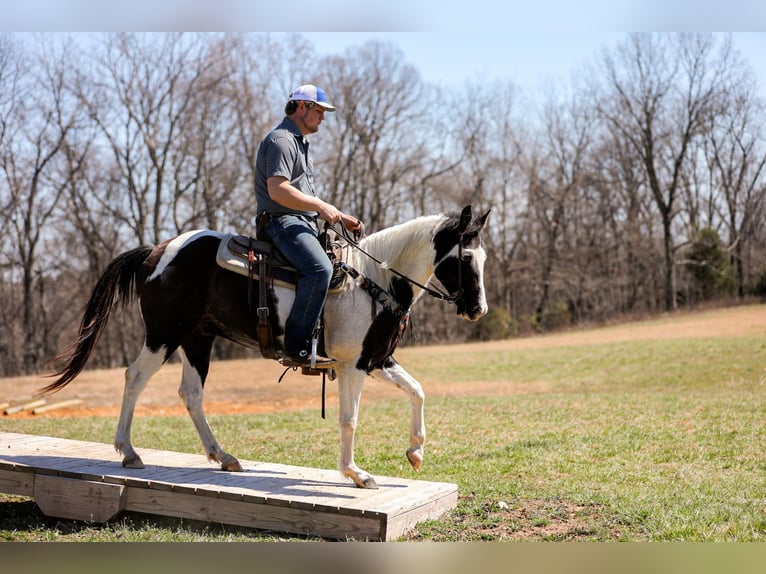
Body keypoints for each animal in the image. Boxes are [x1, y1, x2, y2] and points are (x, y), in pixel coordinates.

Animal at [43, 205, 490, 489]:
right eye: (464, 259)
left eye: (483, 258)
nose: (478, 309)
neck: (374, 279)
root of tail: (155, 252)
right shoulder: (353, 365)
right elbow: (349, 419)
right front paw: (356, 474)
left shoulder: (377, 359)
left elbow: (417, 391)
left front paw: (415, 452)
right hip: (164, 333)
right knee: (135, 377)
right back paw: (128, 451)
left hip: (198, 339)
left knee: (190, 393)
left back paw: (222, 456)